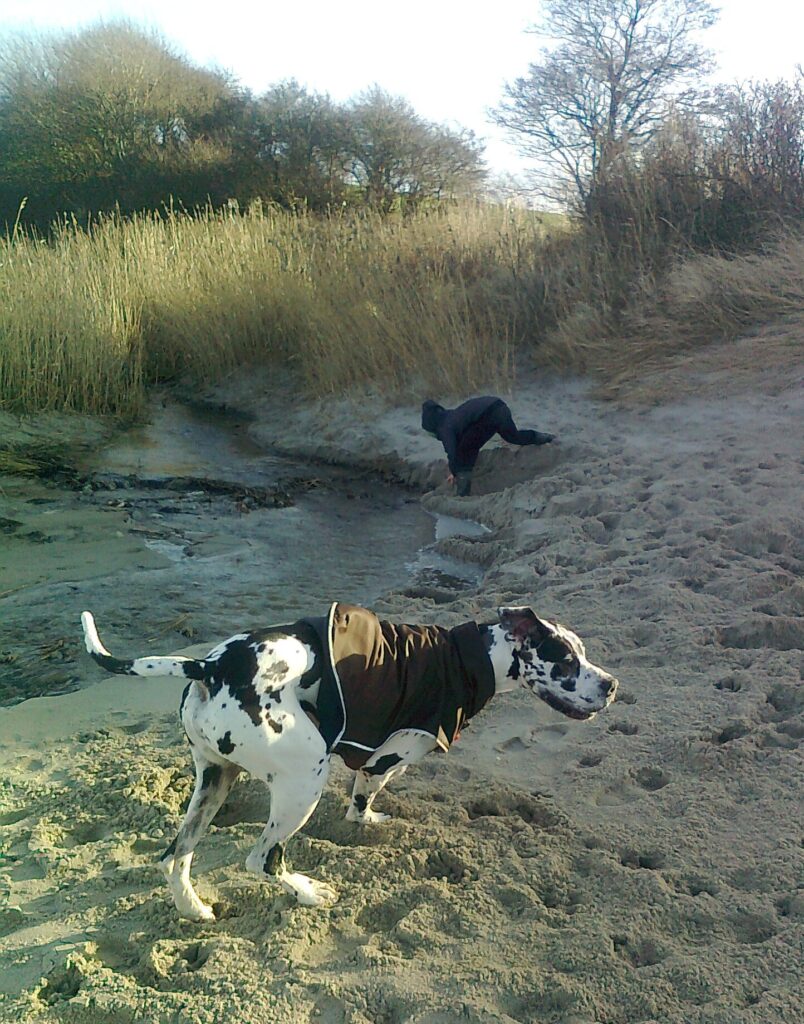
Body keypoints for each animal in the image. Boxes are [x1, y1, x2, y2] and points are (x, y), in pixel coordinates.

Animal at [81, 602, 617, 922]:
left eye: (583, 652)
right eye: (566, 660)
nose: (611, 685)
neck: (468, 659)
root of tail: (211, 665)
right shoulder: (389, 757)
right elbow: (363, 798)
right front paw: (367, 821)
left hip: (215, 780)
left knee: (175, 856)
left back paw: (194, 910)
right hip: (303, 784)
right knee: (262, 859)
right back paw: (308, 892)